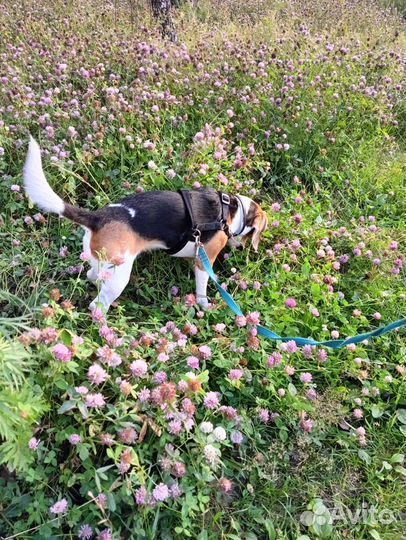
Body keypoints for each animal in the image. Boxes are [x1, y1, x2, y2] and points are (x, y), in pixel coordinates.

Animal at [23, 137, 268, 310]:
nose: (242, 248)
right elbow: (202, 288)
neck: (232, 210)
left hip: (101, 264)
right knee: (97, 305)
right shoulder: (203, 260)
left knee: (92, 276)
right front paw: (204, 304)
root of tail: (98, 217)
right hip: (120, 273)